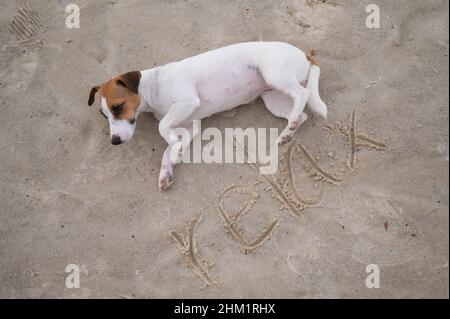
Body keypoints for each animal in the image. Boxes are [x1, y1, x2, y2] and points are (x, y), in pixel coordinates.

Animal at [88, 41, 326, 190]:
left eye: (117, 107)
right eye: (103, 115)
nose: (114, 141)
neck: (153, 87)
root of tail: (306, 55)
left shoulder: (187, 101)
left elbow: (163, 127)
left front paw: (174, 149)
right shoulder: (190, 125)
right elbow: (168, 147)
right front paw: (169, 165)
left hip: (275, 75)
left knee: (303, 94)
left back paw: (291, 123)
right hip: (272, 99)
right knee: (301, 113)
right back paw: (288, 131)